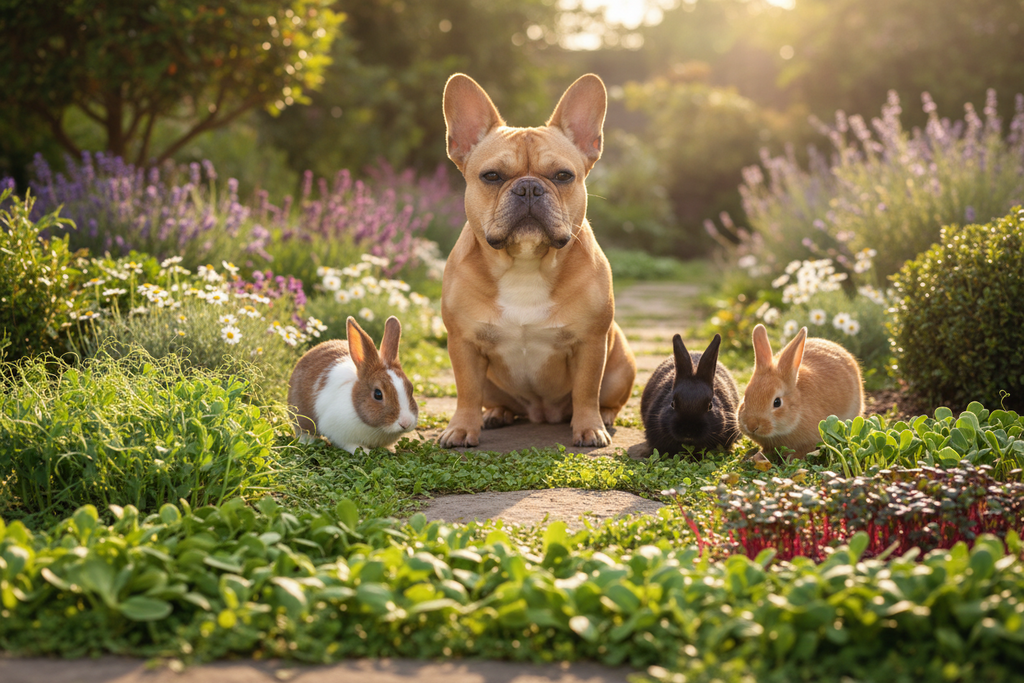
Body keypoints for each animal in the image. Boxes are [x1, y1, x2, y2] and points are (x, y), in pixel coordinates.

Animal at [288, 315, 418, 454]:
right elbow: (349, 444)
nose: (406, 423)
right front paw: (364, 451)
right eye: (378, 394)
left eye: (411, 389)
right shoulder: (337, 431)